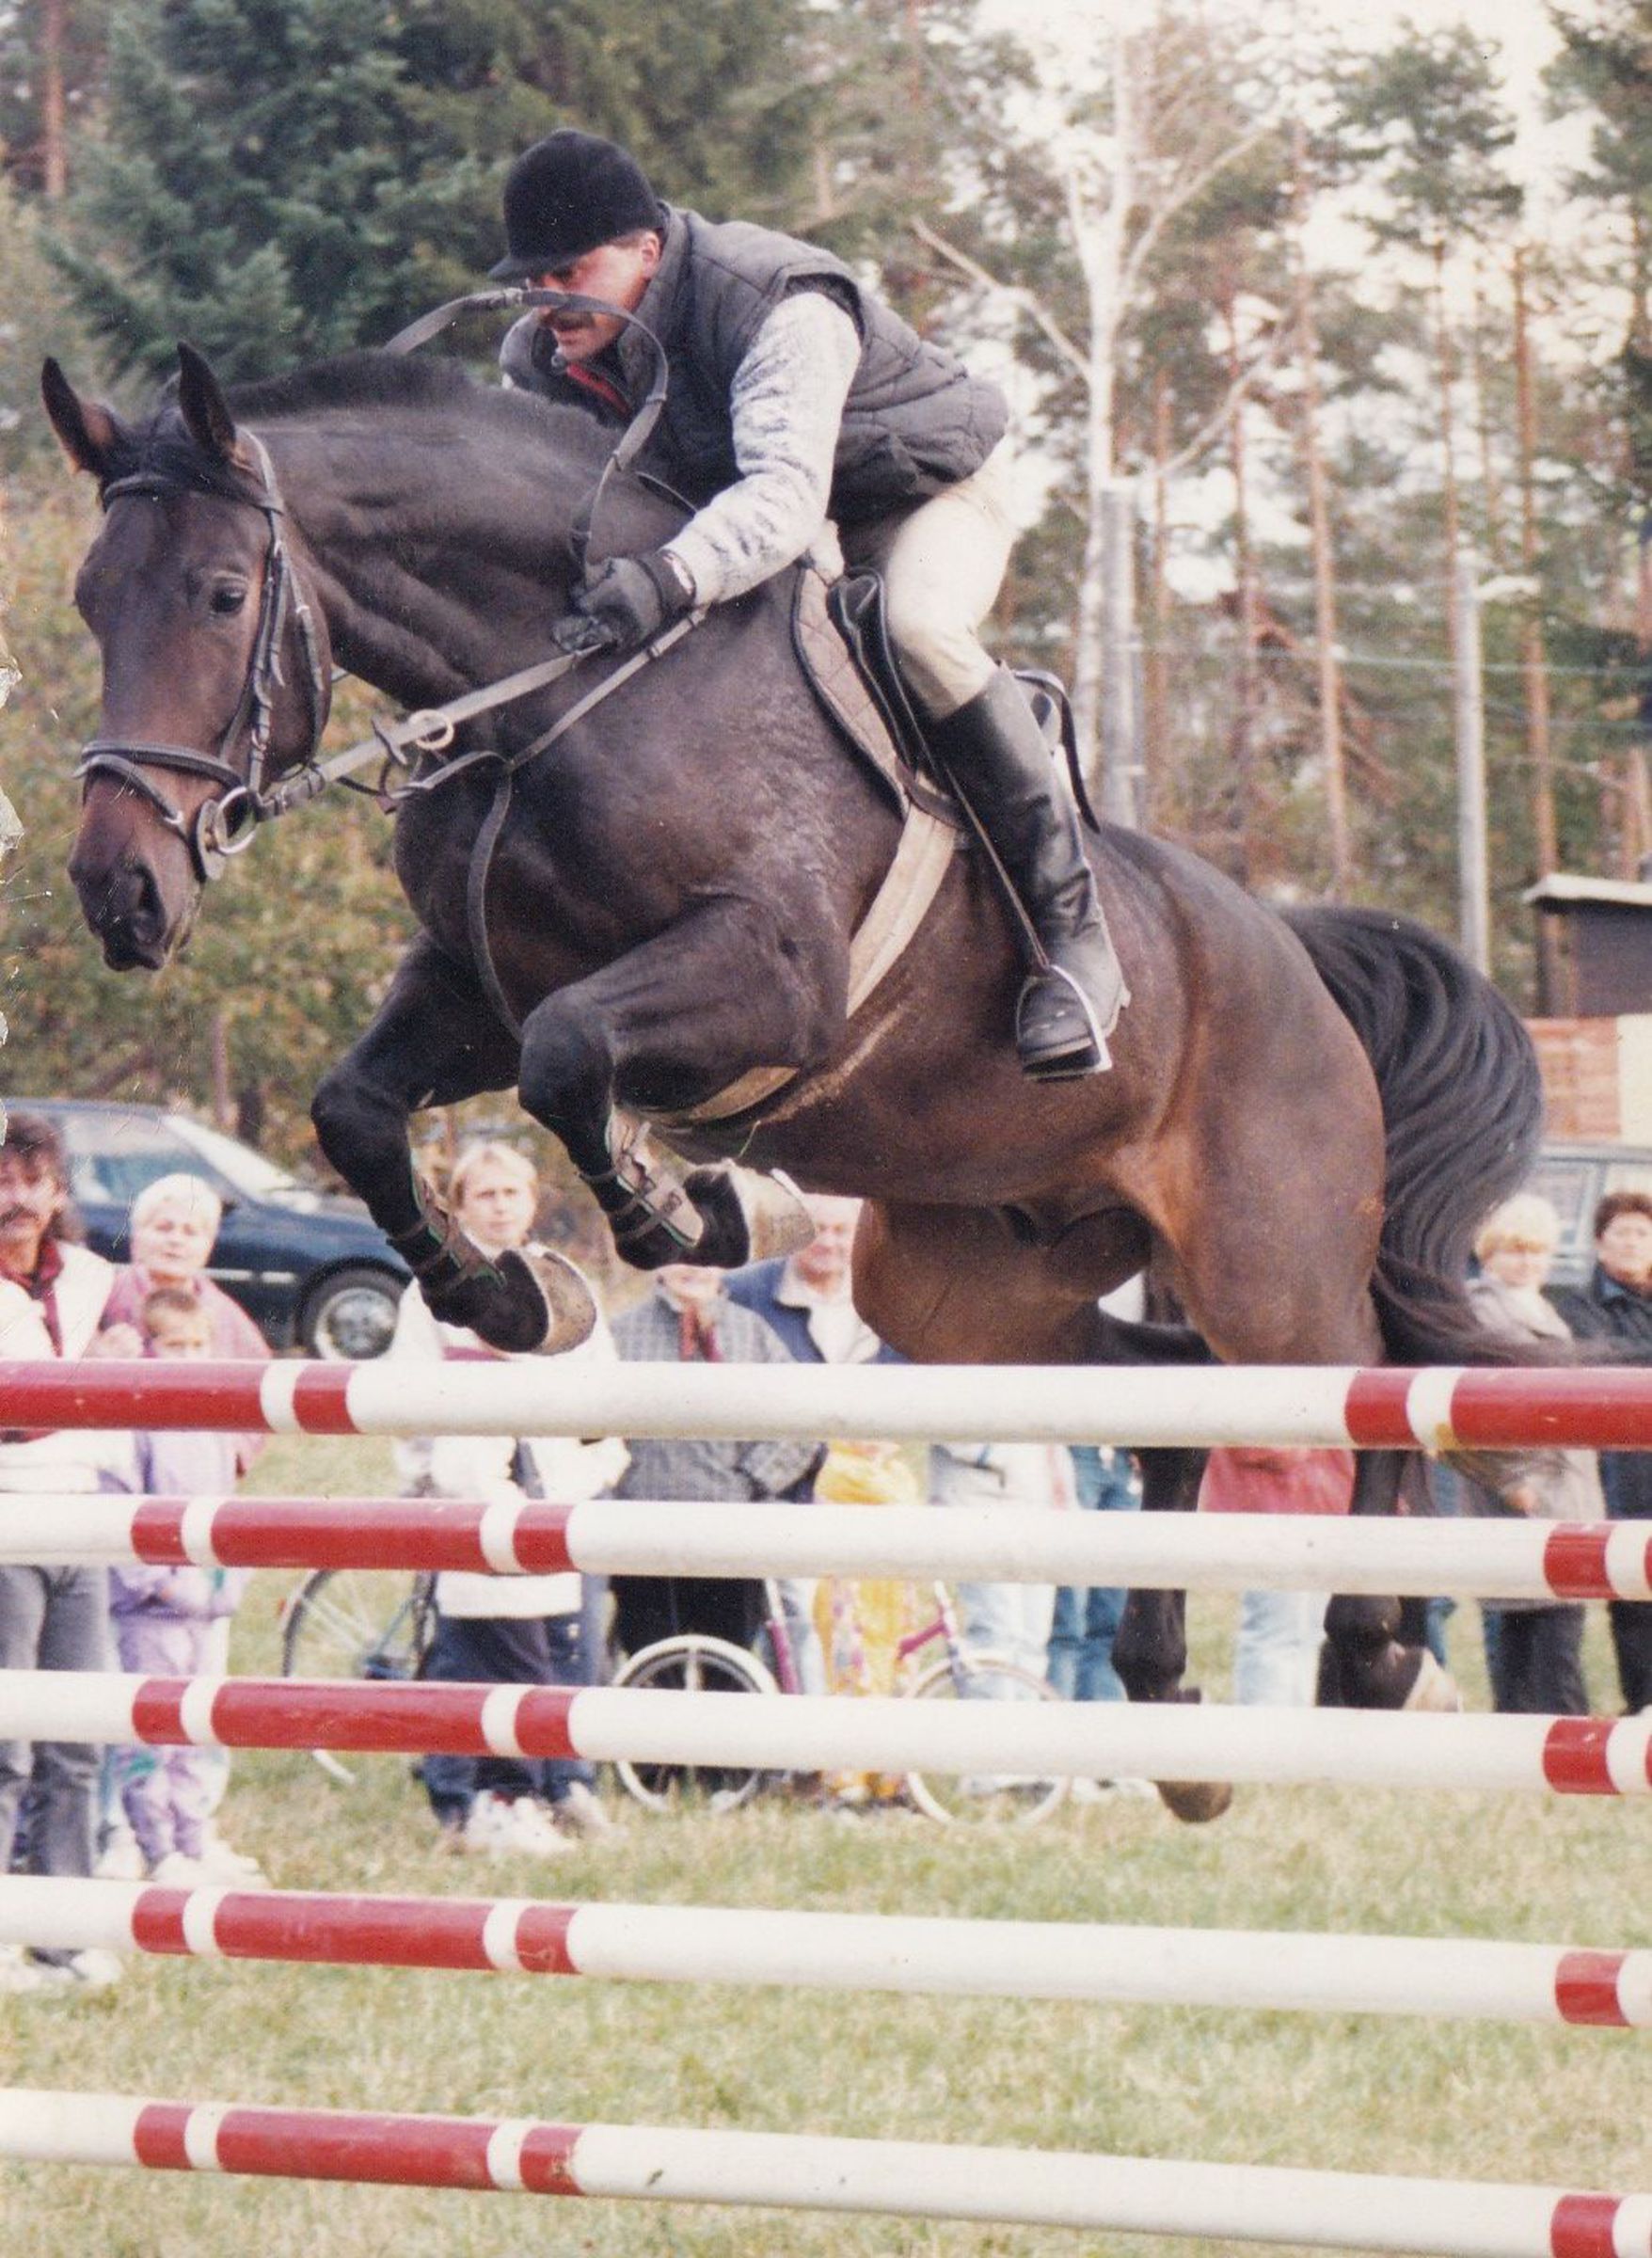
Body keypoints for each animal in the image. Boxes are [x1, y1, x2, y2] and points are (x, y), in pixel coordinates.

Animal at [43, 344, 1542, 1817]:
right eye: (88, 599)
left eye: (223, 593)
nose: (121, 893)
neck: (560, 697)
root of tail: (1293, 952)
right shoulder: (469, 986)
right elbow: (363, 1107)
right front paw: (513, 1293)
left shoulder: (769, 975)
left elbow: (570, 1055)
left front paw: (675, 1209)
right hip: (967, 1293)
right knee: (1168, 1407)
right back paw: (1170, 1706)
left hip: (1263, 1264)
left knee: (1373, 1378)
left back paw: (1372, 1651)